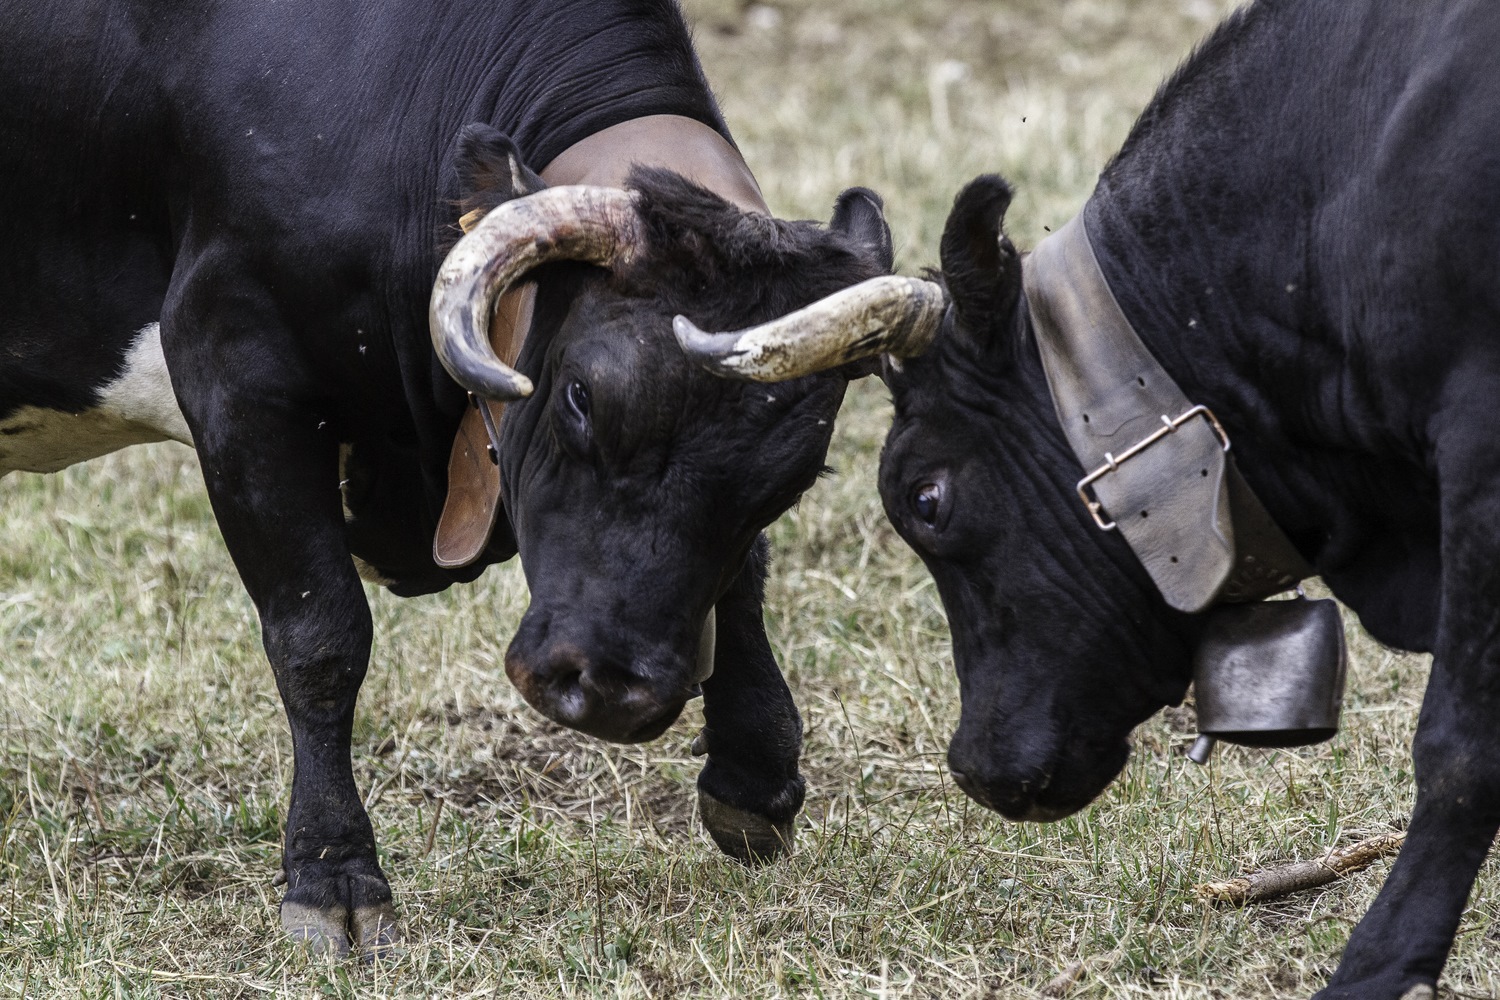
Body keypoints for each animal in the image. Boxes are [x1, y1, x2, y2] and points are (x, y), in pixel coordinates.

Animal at [0, 0, 888, 953]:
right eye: (581, 395)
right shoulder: (237, 381)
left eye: (798, 473)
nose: (612, 690)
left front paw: (755, 772)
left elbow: (743, 579)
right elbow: (320, 639)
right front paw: (334, 875)